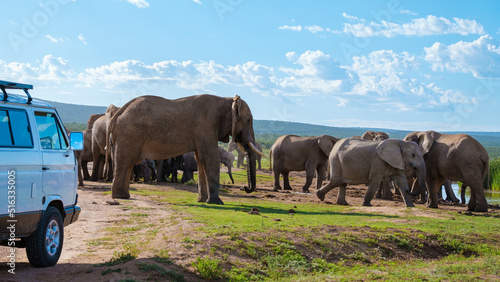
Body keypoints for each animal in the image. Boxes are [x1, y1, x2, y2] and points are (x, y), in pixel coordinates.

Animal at [104, 94, 262, 203]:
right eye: (249, 120)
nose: (244, 188)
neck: (226, 99)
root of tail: (116, 115)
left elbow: (201, 160)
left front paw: (202, 201)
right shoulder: (205, 128)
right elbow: (210, 159)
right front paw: (217, 203)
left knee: (128, 164)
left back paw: (124, 196)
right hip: (130, 134)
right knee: (125, 163)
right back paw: (120, 196)